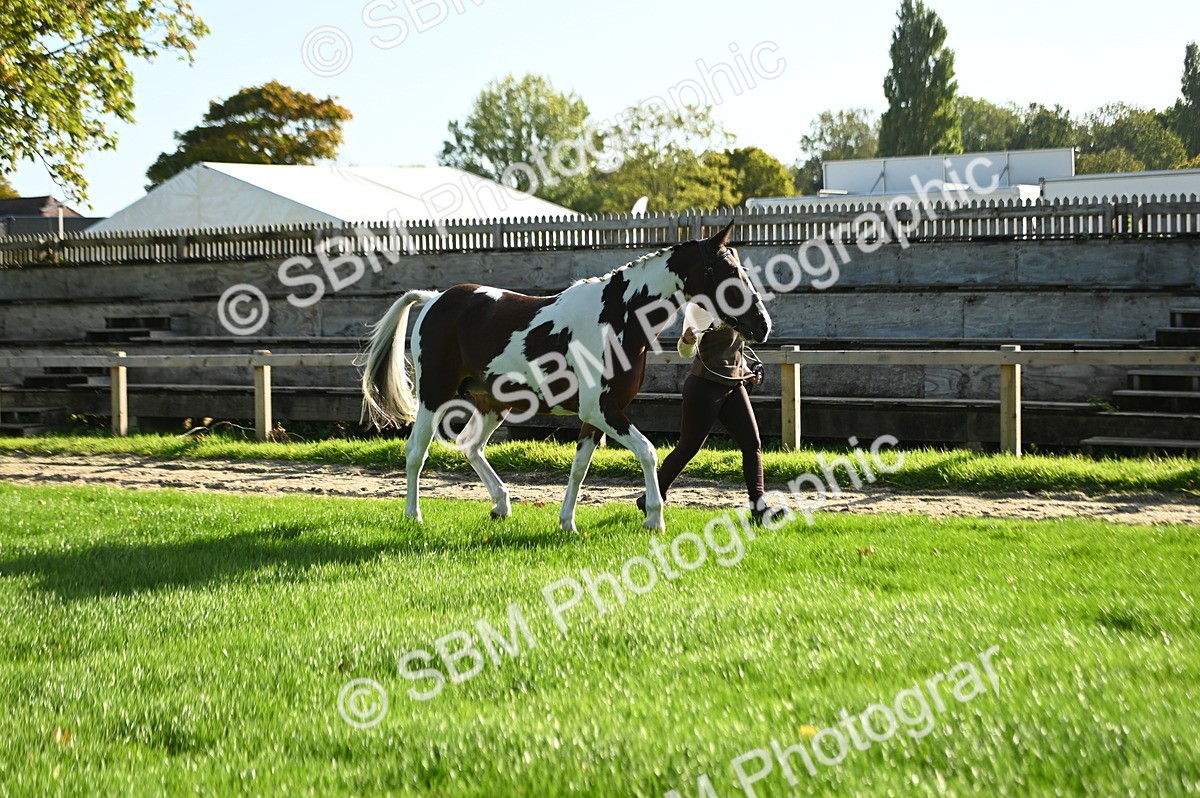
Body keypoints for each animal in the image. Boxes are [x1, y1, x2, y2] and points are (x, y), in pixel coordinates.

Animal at [360, 220, 772, 532]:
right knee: (417, 452)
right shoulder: (602, 410)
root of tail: (433, 298)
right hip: (435, 395)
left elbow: (579, 469)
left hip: (494, 402)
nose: (762, 325)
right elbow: (648, 452)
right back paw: (414, 516)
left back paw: (501, 506)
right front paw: (654, 518)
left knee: (470, 445)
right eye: (730, 271)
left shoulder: (595, 416)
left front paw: (567, 523)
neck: (618, 317)